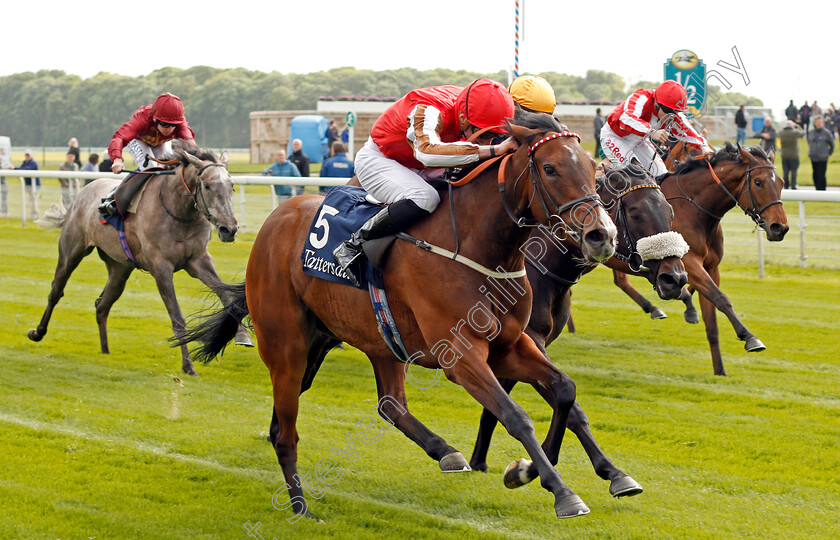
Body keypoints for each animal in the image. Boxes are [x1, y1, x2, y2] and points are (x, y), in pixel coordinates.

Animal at [29, 139, 253, 376]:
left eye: (231, 186)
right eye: (208, 186)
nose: (229, 229)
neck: (178, 212)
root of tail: (82, 193)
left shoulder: (198, 260)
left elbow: (227, 296)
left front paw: (242, 336)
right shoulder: (161, 268)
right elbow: (177, 317)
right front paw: (188, 366)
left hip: (119, 268)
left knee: (102, 305)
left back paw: (105, 350)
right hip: (72, 251)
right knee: (56, 290)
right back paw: (38, 332)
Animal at [182, 113, 616, 520]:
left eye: (593, 168)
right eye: (551, 168)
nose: (602, 235)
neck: (478, 248)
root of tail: (275, 221)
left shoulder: (508, 345)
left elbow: (564, 389)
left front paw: (529, 469)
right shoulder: (460, 354)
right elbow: (516, 415)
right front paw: (561, 491)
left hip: (361, 341)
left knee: (384, 405)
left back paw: (445, 451)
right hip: (287, 346)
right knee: (288, 431)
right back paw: (301, 506)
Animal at [612, 142, 788, 376]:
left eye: (781, 182)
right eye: (758, 182)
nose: (780, 227)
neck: (693, 209)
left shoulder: (711, 268)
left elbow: (712, 317)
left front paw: (719, 370)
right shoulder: (687, 263)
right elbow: (720, 298)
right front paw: (750, 337)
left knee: (620, 281)